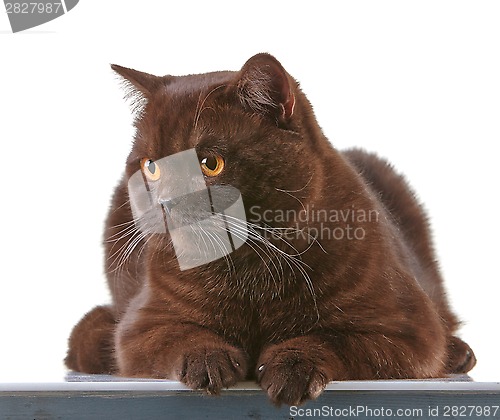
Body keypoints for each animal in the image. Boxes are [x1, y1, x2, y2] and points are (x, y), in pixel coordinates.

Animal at [66, 52, 476, 406]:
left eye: (210, 162)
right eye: (151, 167)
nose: (164, 203)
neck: (249, 267)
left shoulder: (409, 333)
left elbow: (331, 339)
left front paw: (292, 367)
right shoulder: (141, 325)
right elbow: (178, 335)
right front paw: (207, 359)